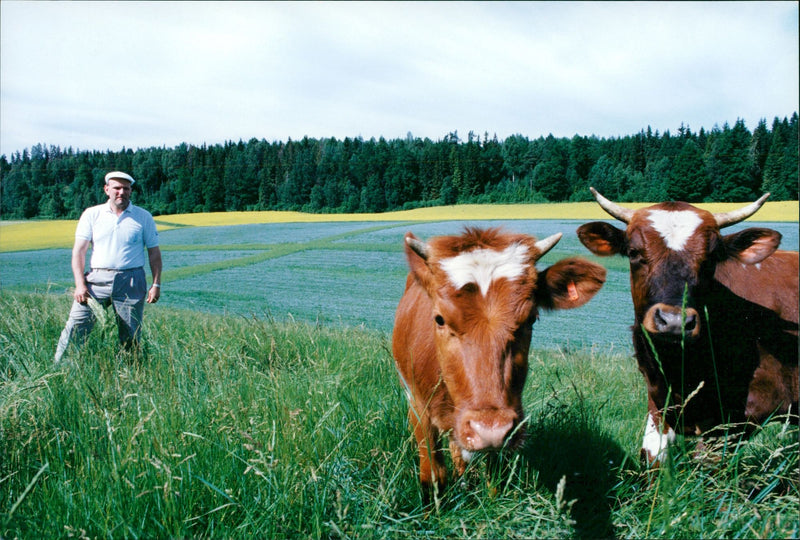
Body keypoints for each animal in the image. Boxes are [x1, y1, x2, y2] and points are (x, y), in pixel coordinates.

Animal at [394, 228, 608, 494]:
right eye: (439, 319)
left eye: (531, 318)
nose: (490, 430)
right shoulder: (417, 405)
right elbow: (433, 476)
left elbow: (493, 480)